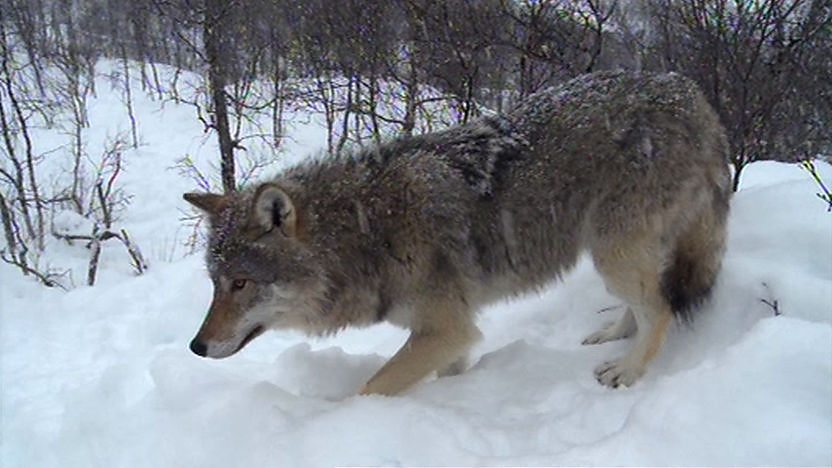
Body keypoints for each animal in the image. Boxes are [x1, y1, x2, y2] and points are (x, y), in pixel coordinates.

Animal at [184, 70, 731, 396]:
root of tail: (692, 93)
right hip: (616, 254)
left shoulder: (446, 329)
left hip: (613, 252)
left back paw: (628, 370)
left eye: (241, 283)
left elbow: (368, 389)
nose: (196, 347)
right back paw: (612, 335)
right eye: (214, 285)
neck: (365, 229)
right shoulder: (449, 336)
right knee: (647, 300)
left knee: (662, 306)